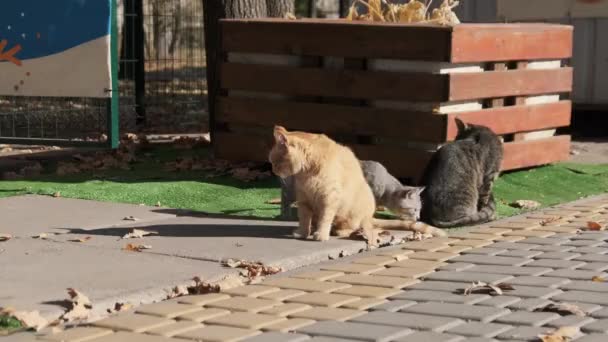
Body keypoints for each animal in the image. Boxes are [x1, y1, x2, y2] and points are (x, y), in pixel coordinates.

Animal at [268, 126, 444, 243]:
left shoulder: (329, 198)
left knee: (350, 228)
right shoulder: (304, 200)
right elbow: (304, 219)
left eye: (275, 161)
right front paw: (303, 233)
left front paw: (321, 235)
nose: (273, 171)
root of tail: (369, 216)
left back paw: (337, 231)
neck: (306, 172)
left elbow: (325, 218)